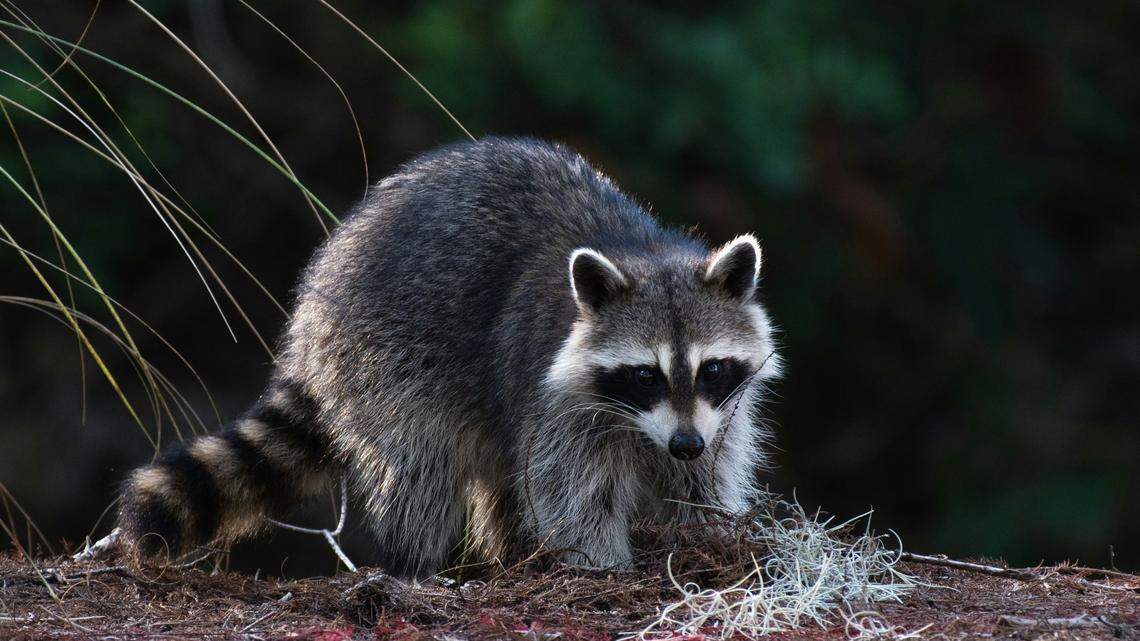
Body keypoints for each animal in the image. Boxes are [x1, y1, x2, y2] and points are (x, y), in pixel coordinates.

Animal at [117, 137, 781, 577]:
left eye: (711, 368)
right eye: (645, 375)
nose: (684, 443)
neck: (643, 252)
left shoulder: (717, 413)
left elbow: (704, 475)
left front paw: (707, 534)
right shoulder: (553, 393)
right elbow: (573, 490)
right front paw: (600, 564)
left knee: (500, 473)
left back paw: (510, 554)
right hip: (386, 355)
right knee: (421, 465)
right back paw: (416, 565)